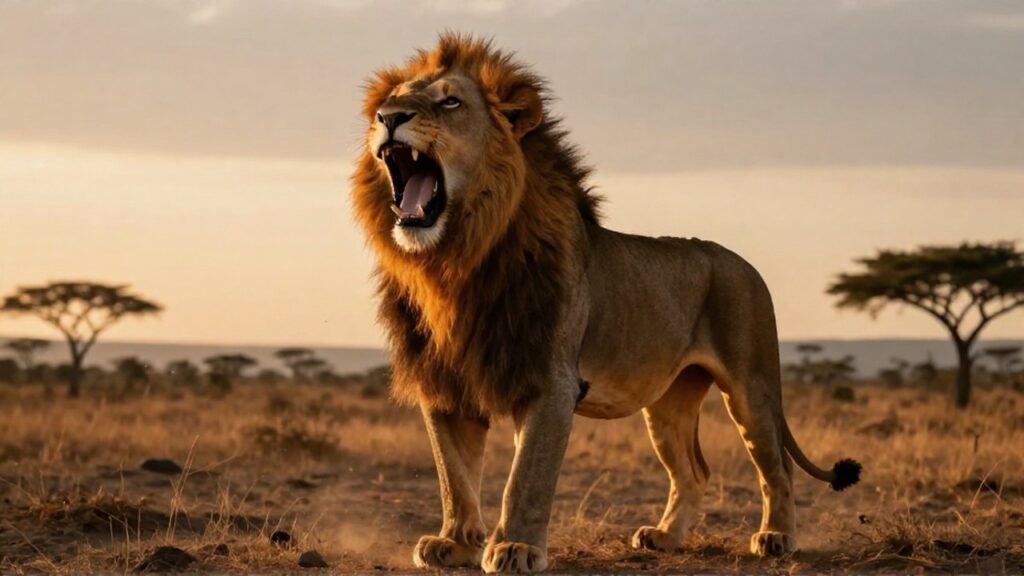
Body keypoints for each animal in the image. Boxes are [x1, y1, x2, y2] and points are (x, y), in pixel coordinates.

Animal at [351, 34, 861, 573]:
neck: (454, 263)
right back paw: (664, 536)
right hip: (669, 403)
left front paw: (515, 547)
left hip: (752, 385)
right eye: (393, 99)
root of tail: (743, 262)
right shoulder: (446, 382)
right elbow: (455, 476)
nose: (389, 117)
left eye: (450, 102)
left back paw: (776, 536)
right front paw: (456, 542)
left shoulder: (552, 381)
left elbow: (525, 477)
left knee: (777, 466)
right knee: (693, 472)